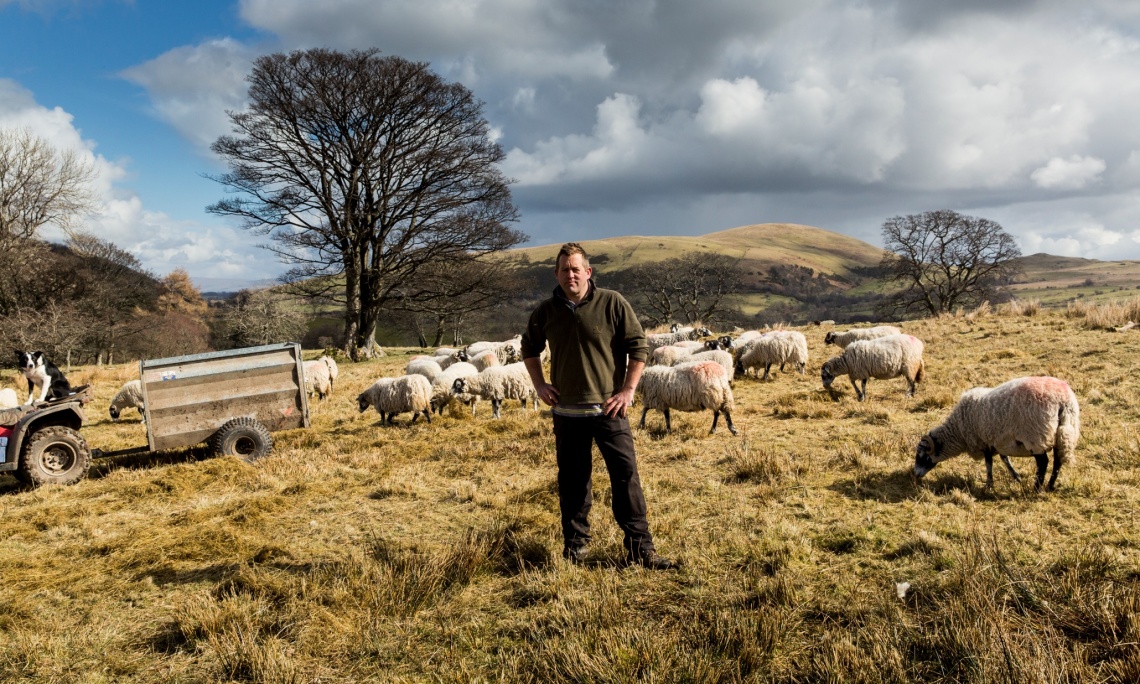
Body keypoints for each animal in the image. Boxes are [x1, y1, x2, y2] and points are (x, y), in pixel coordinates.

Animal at [912, 373, 1080, 492]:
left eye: (923, 456)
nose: (915, 475)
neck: (959, 430)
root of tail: (1062, 400)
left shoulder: (983, 441)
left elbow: (989, 464)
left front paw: (989, 485)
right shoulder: (998, 441)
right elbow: (1005, 459)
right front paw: (1016, 477)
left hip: (1036, 435)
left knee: (1043, 462)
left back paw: (1037, 488)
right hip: (1064, 431)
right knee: (1058, 460)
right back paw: (1050, 486)